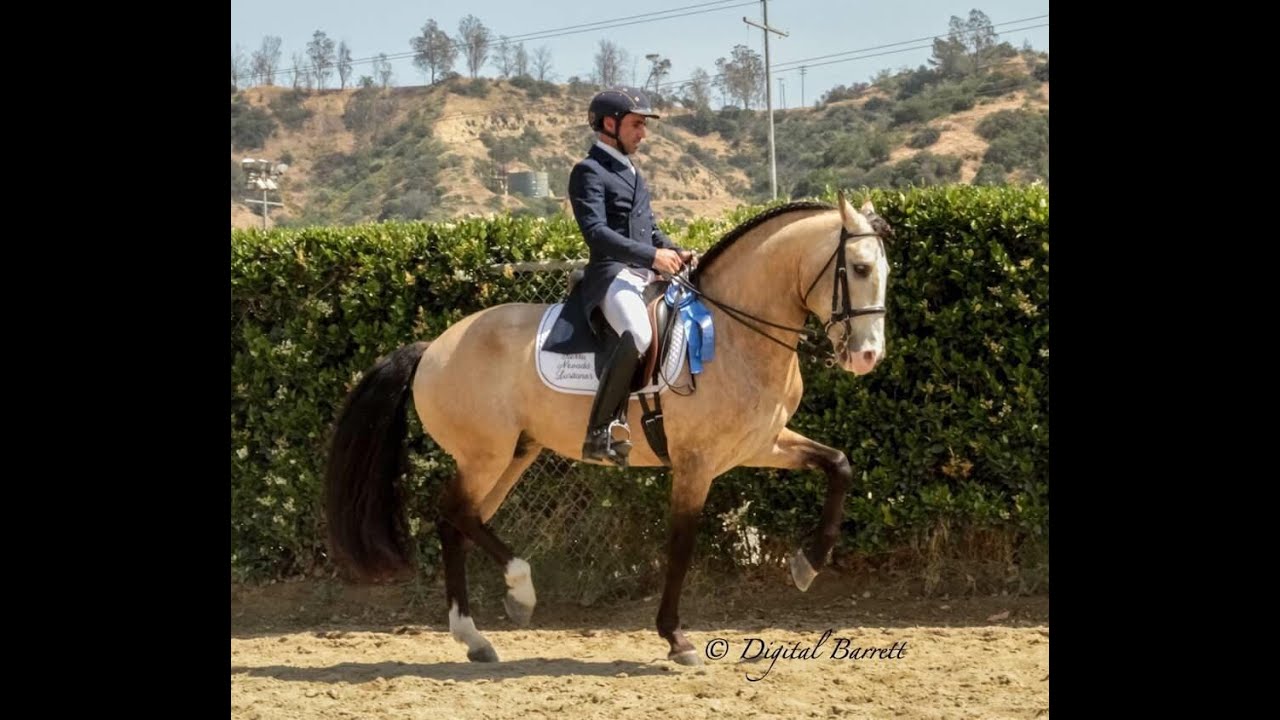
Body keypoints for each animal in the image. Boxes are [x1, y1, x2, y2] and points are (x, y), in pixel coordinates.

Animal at [323, 192, 894, 666]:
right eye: (859, 267)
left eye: (884, 270)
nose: (867, 357)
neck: (733, 333)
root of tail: (431, 348)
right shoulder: (696, 464)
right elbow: (681, 546)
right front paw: (676, 638)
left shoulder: (761, 444)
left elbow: (839, 466)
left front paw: (808, 563)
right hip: (486, 454)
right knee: (456, 512)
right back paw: (517, 592)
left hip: (513, 455)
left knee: (458, 519)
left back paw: (479, 634)